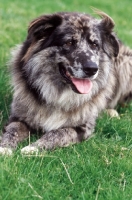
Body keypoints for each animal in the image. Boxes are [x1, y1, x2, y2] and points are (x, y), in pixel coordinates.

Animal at [0, 10, 132, 155]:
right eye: (69, 42)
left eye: (95, 45)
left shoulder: (81, 127)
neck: (58, 91)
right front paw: (4, 147)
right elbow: (12, 131)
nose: (92, 69)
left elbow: (58, 133)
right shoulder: (19, 117)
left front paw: (33, 148)